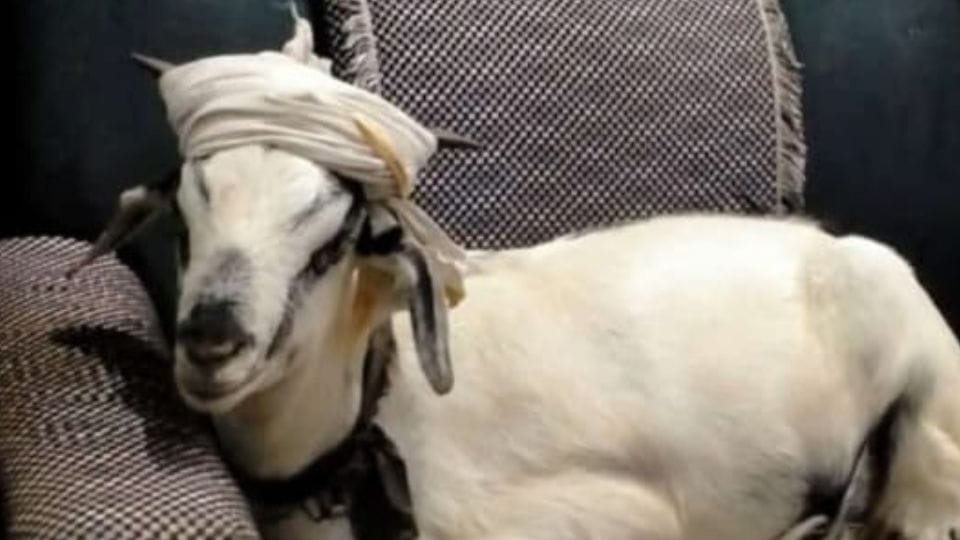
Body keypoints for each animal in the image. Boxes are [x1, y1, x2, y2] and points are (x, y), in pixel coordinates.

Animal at [72, 16, 960, 540]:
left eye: (336, 240)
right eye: (186, 220)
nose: (211, 342)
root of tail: (829, 245)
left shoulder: (611, 518)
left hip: (928, 418)